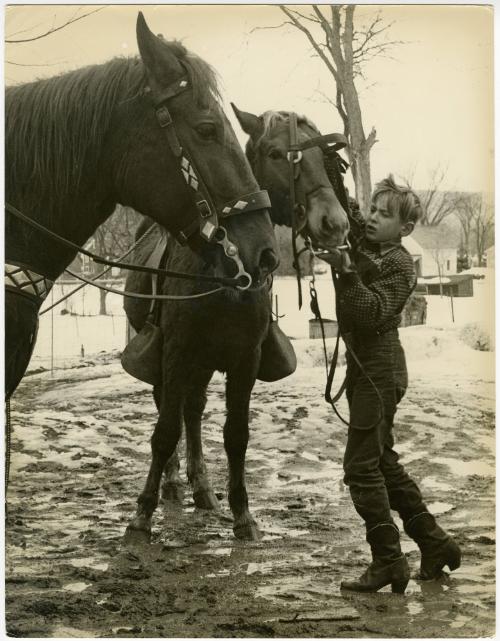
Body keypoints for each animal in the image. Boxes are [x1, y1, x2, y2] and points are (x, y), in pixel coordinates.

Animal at [123, 107, 350, 544]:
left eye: (324, 158)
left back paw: (201, 485)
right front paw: (142, 513)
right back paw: (173, 481)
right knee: (170, 409)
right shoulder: (175, 351)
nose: (334, 223)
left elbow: (236, 436)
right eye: (276, 154)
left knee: (192, 410)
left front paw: (243, 513)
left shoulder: (245, 358)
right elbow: (165, 431)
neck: (226, 271)